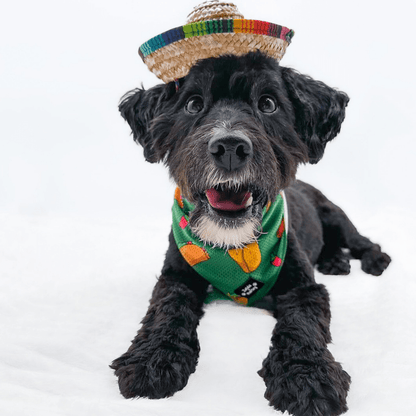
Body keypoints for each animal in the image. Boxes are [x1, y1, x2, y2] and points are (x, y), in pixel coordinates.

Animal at [109, 51, 390, 416]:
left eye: (268, 103)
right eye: (193, 104)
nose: (229, 146)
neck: (232, 250)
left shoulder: (304, 287)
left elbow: (302, 323)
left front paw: (308, 376)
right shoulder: (175, 275)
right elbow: (166, 308)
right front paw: (152, 359)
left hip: (336, 217)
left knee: (361, 242)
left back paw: (372, 260)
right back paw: (334, 263)